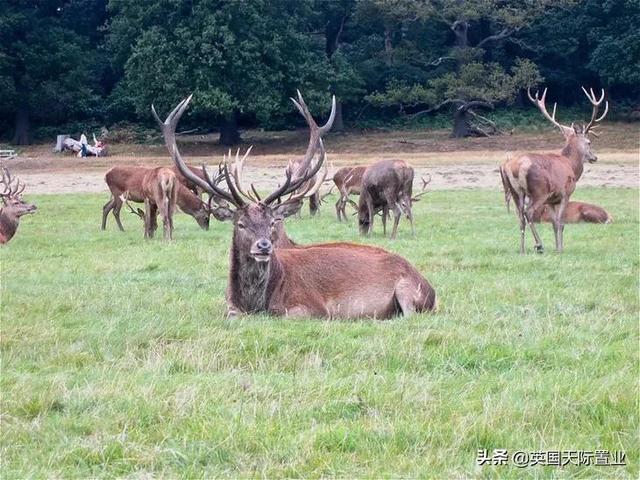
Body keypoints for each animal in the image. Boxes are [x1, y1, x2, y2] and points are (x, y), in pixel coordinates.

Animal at [162, 94, 438, 318]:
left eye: (272, 222)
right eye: (240, 224)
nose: (263, 246)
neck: (255, 303)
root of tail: (430, 287)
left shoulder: (311, 307)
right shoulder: (229, 306)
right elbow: (231, 315)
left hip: (407, 289)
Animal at [500, 86, 608, 253]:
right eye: (589, 142)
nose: (594, 157)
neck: (571, 166)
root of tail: (513, 167)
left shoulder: (551, 200)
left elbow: (553, 223)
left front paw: (557, 247)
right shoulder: (565, 193)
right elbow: (560, 223)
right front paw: (561, 249)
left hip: (515, 192)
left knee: (520, 217)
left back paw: (522, 250)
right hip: (539, 190)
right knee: (528, 212)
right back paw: (539, 245)